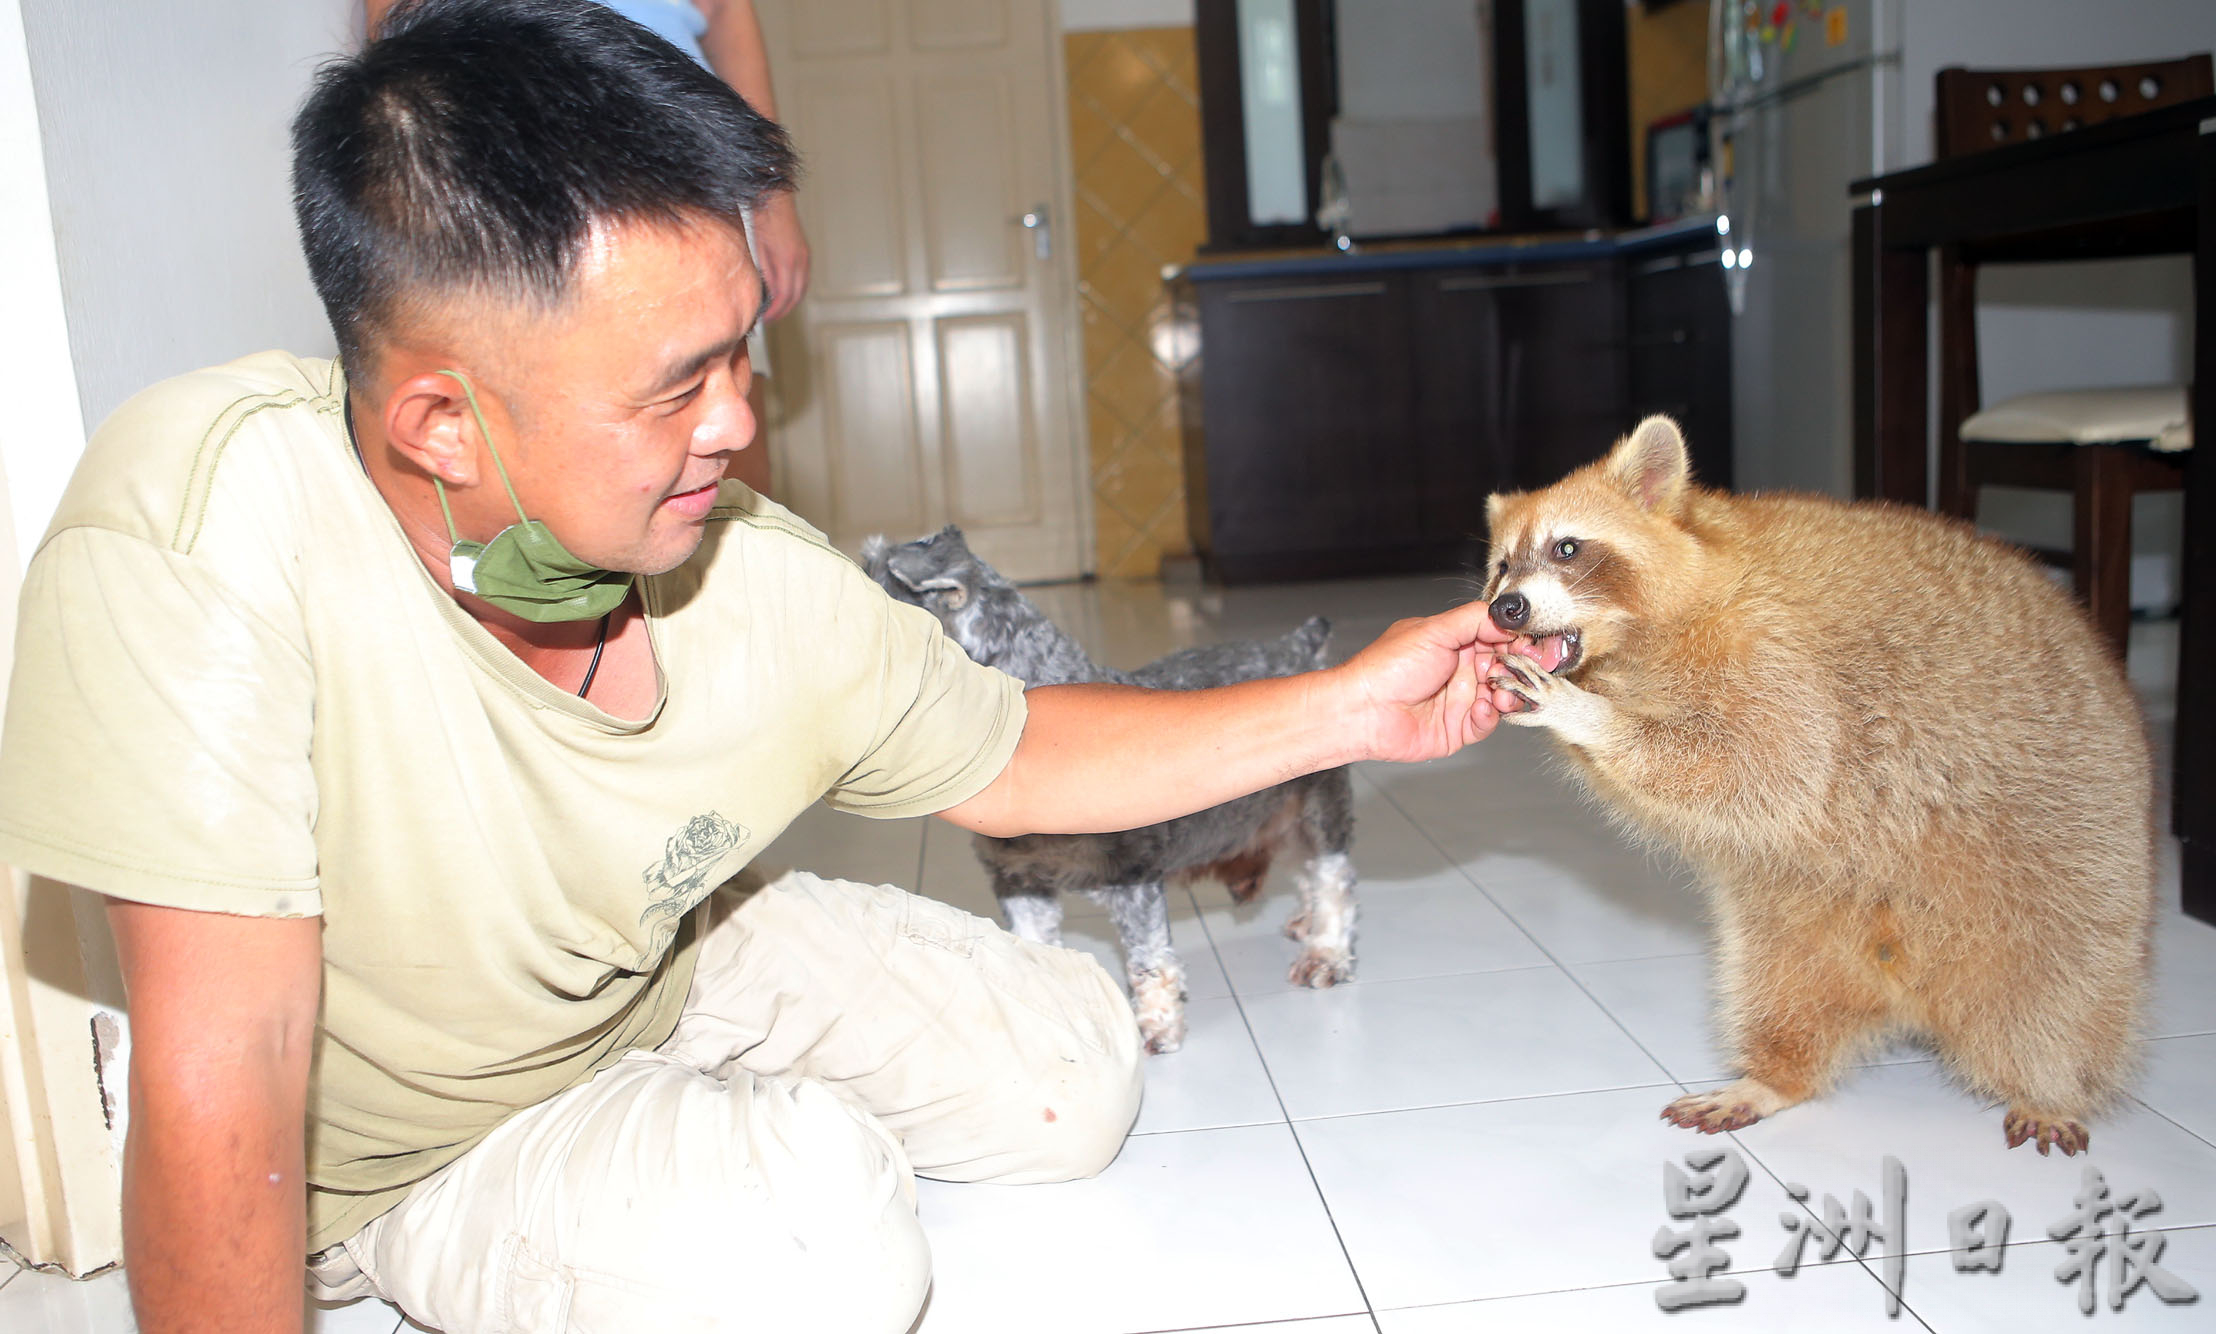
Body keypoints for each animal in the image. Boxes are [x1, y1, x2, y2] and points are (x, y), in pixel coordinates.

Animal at [859, 522, 1347, 1050]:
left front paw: (1157, 1025)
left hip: (1319, 808)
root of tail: (1299, 647)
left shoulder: (1134, 880)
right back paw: (1305, 920)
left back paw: (1327, 952)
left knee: (1331, 876)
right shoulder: (1019, 882)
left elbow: (1149, 960)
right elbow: (1032, 950)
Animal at [1480, 409, 2153, 1143]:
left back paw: (2052, 1088)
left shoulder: (1774, 651)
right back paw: (1775, 1075)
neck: (1632, 648)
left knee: (2050, 1003)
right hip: (1799, 923)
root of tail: (1909, 988)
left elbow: (1769, 765)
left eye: (1567, 548)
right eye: (1502, 566)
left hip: (2073, 867)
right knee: (1781, 988)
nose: (1505, 609)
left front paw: (1593, 718)